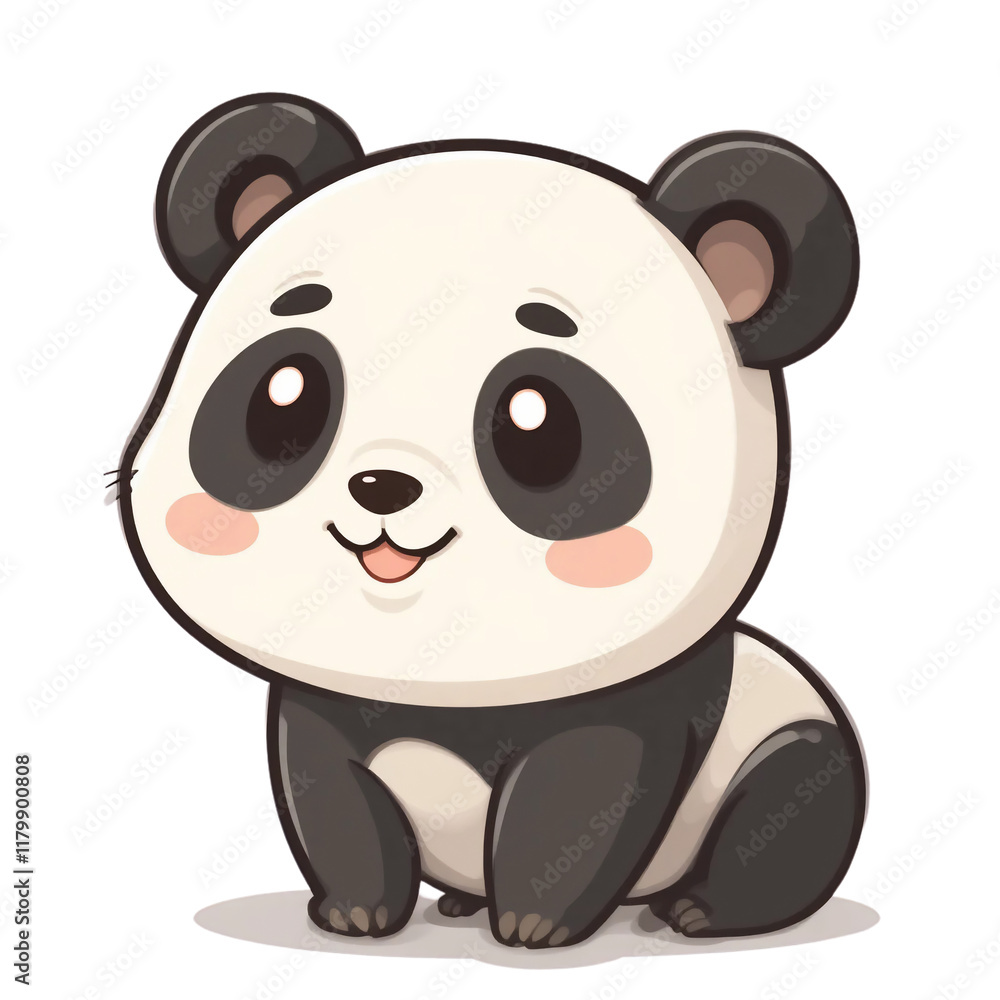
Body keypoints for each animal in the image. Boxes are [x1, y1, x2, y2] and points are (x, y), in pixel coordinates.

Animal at [118, 94, 867, 949]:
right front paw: (354, 913)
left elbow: (582, 792)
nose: (381, 485)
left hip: (787, 738)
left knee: (785, 807)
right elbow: (330, 794)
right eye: (283, 395)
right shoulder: (321, 706)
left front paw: (535, 926)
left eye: (539, 425)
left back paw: (698, 910)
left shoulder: (629, 701)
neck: (448, 686)